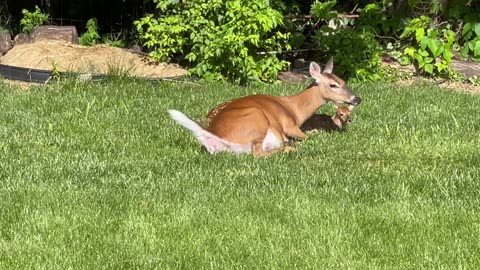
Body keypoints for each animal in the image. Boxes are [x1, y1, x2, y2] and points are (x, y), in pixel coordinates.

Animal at [169, 58, 360, 157]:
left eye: (343, 81)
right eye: (333, 85)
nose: (357, 98)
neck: (294, 109)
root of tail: (213, 135)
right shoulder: (290, 125)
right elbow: (309, 136)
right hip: (257, 117)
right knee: (259, 153)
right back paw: (287, 147)